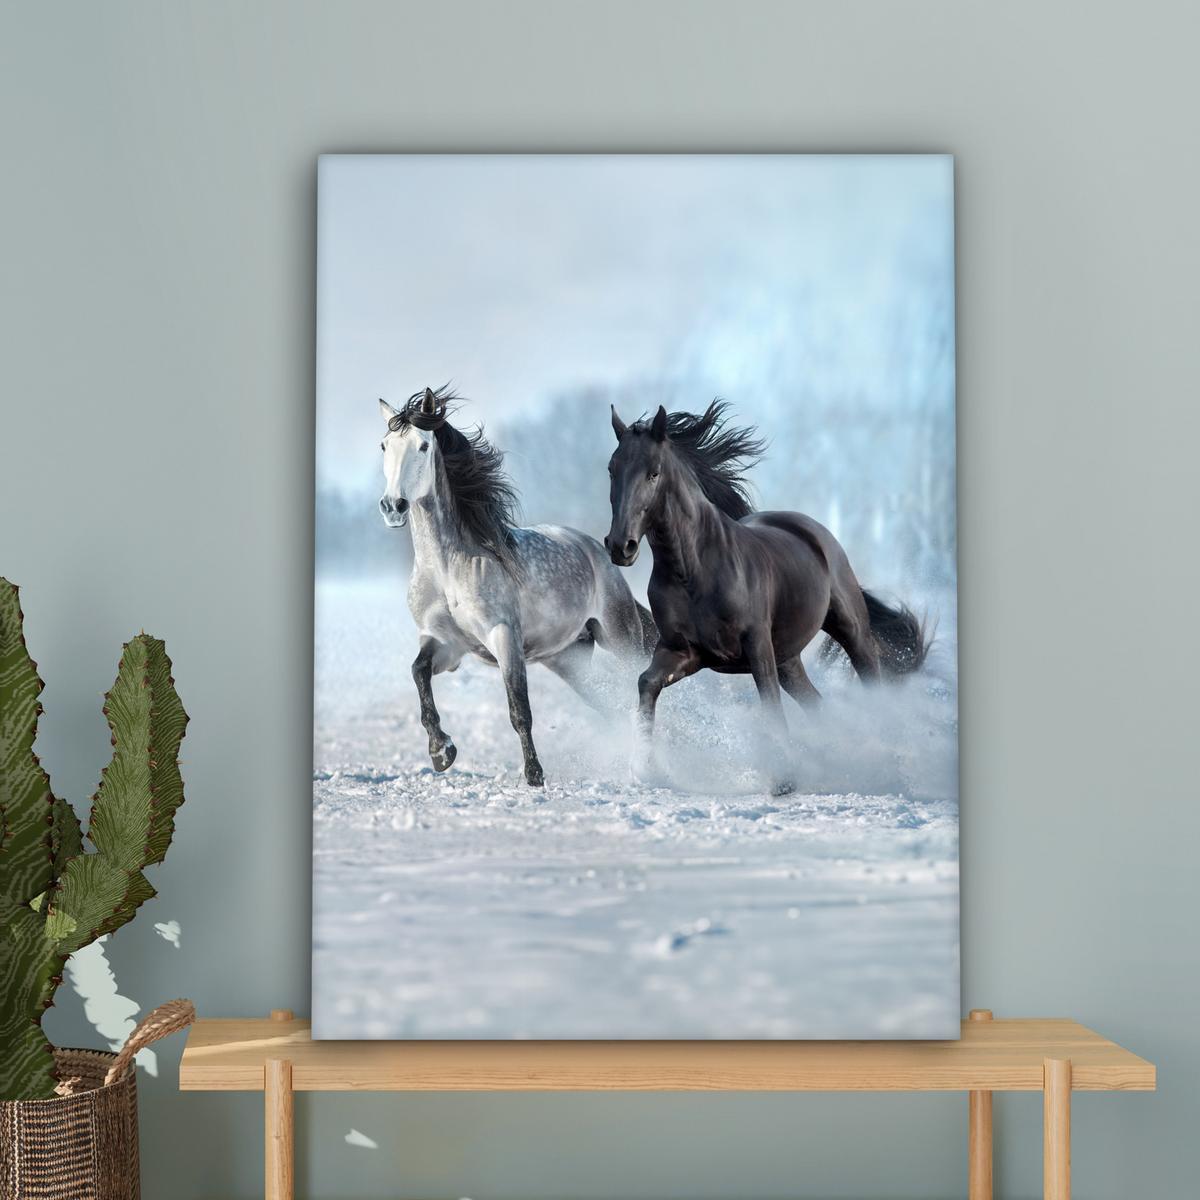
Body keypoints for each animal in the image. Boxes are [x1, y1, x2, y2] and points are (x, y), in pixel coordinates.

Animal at [378, 386, 656, 787]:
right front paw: (441, 752)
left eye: (423, 445)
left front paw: (534, 775)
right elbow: (418, 673)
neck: (447, 570)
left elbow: (519, 708)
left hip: (621, 638)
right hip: (568, 659)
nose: (393, 506)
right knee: (610, 704)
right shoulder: (445, 644)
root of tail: (597, 551)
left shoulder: (504, 637)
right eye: (385, 445)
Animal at [604, 400, 929, 793]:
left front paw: (784, 779)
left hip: (850, 630)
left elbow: (769, 704)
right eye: (612, 470)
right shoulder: (683, 651)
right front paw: (646, 769)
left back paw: (887, 765)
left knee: (871, 681)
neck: (694, 571)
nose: (620, 546)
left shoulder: (756, 646)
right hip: (788, 658)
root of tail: (813, 531)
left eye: (654, 473)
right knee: (816, 704)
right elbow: (646, 683)